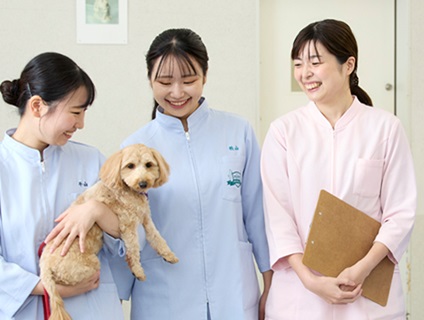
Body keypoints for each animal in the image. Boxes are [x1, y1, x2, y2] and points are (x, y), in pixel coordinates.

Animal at [39, 144, 178, 318]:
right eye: (130, 166)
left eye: (148, 164)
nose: (143, 183)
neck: (128, 190)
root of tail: (44, 266)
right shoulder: (127, 224)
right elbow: (133, 250)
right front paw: (137, 271)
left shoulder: (146, 219)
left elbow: (157, 238)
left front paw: (168, 255)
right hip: (88, 265)